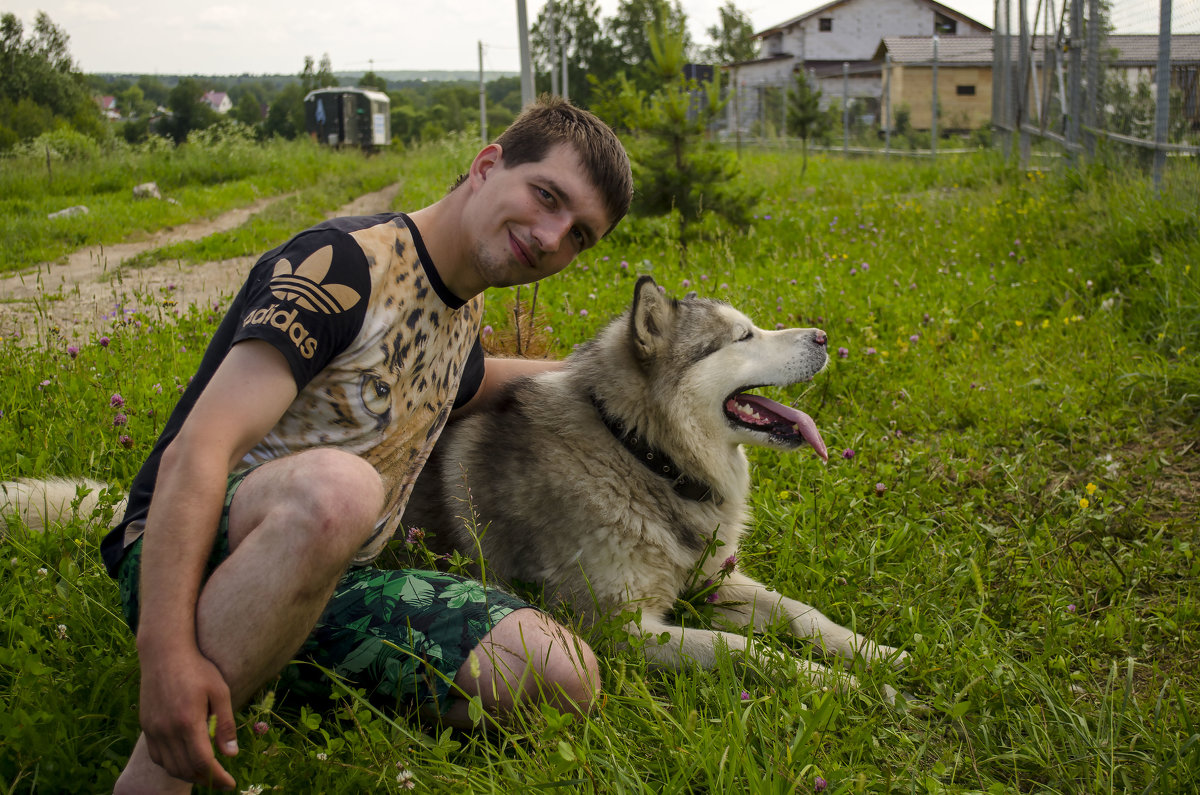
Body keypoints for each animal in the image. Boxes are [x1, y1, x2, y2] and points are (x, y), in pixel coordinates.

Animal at [398, 276, 902, 691]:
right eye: (743, 337)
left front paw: (875, 653)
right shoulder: (621, 628)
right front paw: (831, 681)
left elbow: (800, 612)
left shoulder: (711, 580)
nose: (823, 337)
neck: (643, 457)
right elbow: (740, 648)